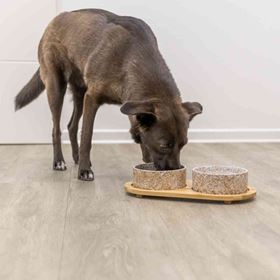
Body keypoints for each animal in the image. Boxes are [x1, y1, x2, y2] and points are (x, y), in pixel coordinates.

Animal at [14, 8, 202, 180]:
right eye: (164, 146)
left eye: (183, 144)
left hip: (80, 93)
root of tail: (55, 19)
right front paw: (84, 171)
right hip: (56, 86)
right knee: (56, 129)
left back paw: (76, 157)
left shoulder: (130, 105)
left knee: (71, 126)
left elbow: (141, 137)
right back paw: (59, 162)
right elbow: (87, 137)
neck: (133, 55)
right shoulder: (92, 99)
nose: (176, 170)